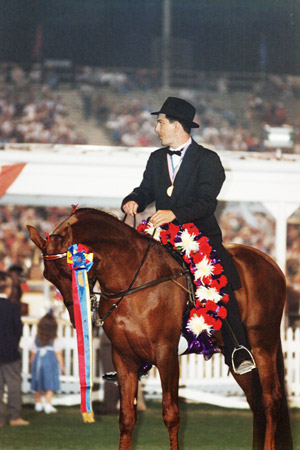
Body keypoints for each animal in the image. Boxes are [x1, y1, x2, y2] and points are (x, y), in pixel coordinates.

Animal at [27, 208, 292, 450]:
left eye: (70, 269)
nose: (75, 318)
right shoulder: (123, 358)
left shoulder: (166, 355)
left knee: (271, 399)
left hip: (263, 344)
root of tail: (270, 262)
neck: (132, 281)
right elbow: (126, 418)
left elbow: (171, 415)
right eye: (48, 277)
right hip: (233, 355)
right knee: (256, 400)